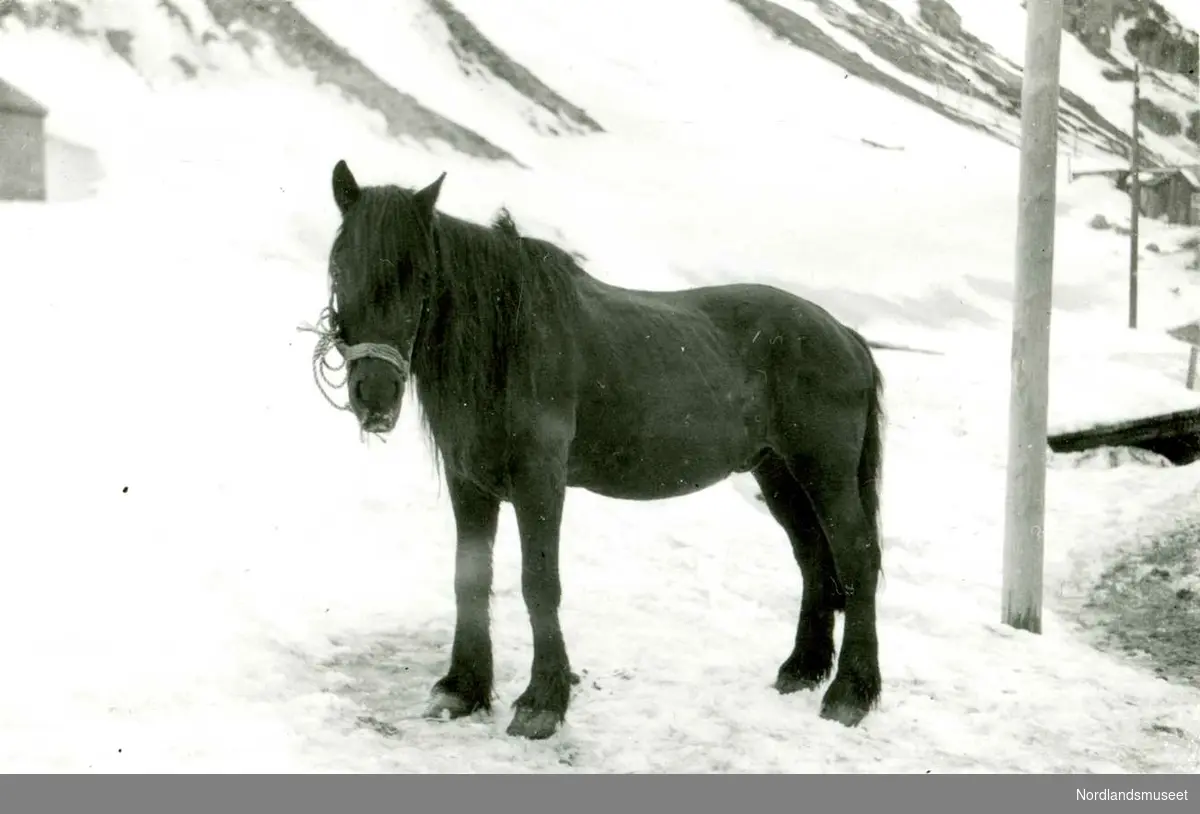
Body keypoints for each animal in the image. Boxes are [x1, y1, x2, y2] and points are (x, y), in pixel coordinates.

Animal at [314, 159, 888, 739]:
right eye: (339, 269)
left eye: (424, 277)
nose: (375, 396)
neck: (509, 340)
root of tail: (844, 334)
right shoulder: (469, 482)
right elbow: (469, 579)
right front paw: (463, 689)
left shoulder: (540, 482)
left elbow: (539, 583)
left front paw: (542, 702)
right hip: (779, 475)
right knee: (813, 559)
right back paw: (802, 669)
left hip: (825, 473)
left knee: (856, 557)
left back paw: (850, 693)